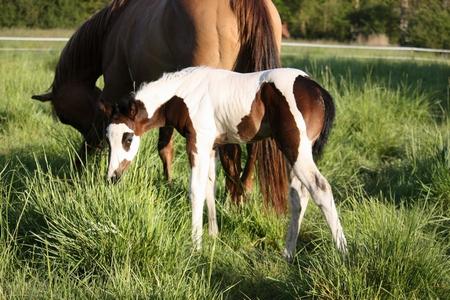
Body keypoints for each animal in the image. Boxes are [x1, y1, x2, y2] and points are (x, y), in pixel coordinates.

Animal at [30, 0, 288, 211]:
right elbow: (165, 146)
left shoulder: (117, 91)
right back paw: (243, 191)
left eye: (68, 118)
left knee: (230, 148)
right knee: (253, 143)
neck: (115, 23)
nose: (82, 160)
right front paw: (168, 183)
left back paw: (234, 196)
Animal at [104, 67, 348, 258]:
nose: (112, 177)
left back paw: (342, 252)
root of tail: (317, 90)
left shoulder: (197, 142)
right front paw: (213, 235)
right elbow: (209, 186)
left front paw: (196, 246)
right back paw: (288, 253)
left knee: (320, 188)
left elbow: (196, 190)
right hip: (295, 153)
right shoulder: (211, 146)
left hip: (295, 148)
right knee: (299, 194)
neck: (183, 94)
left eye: (127, 138)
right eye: (108, 139)